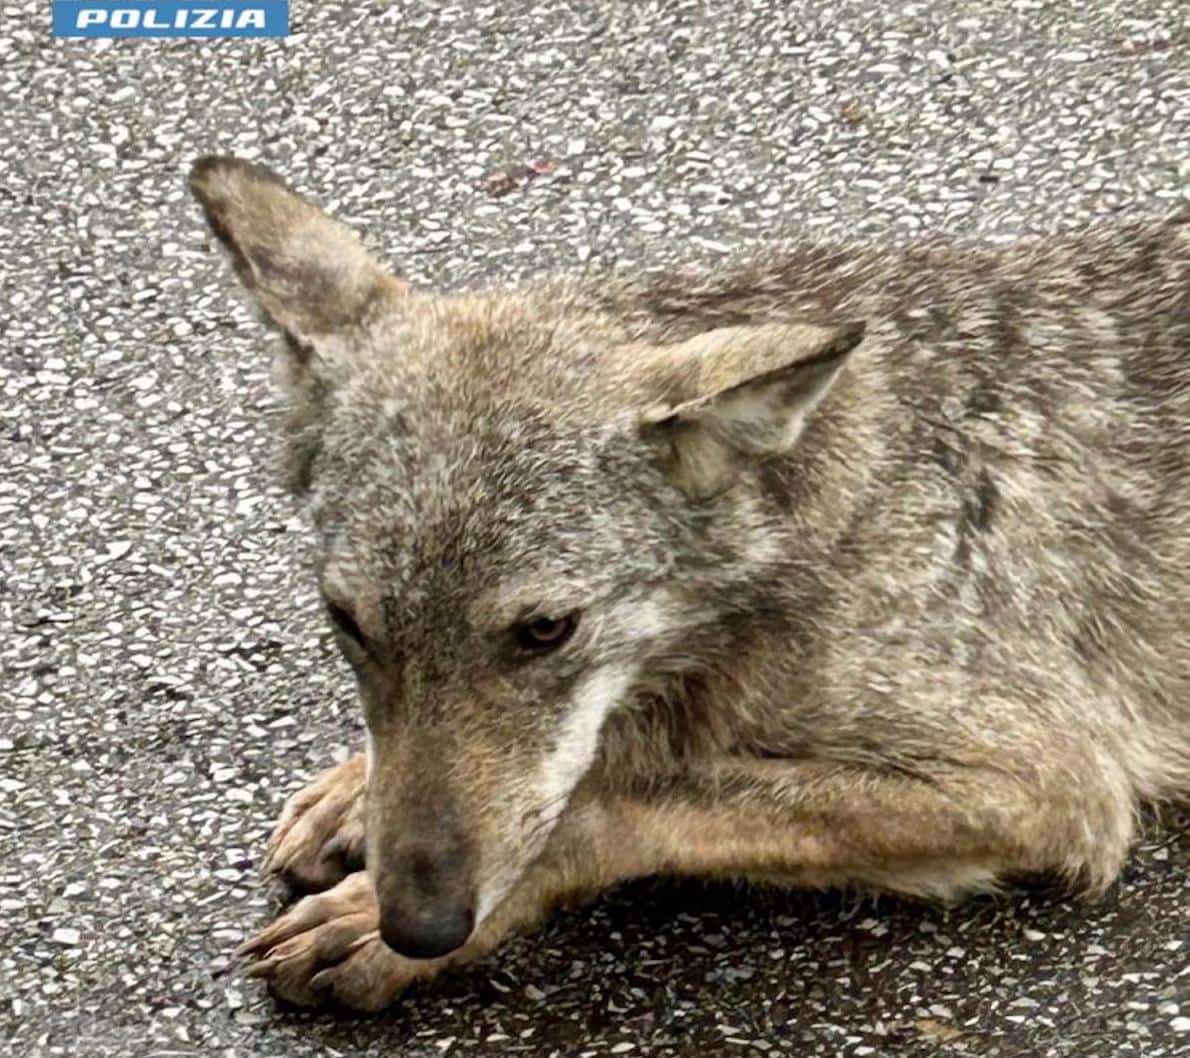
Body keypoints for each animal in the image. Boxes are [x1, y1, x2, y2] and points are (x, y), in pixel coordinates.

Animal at [190, 155, 1190, 1011]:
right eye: (349, 622)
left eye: (547, 630)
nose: (418, 925)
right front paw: (356, 791)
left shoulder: (1048, 786)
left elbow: (619, 805)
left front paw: (382, 920)